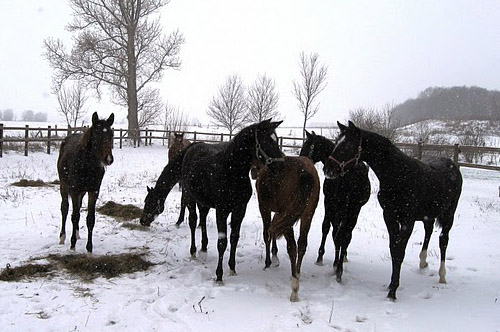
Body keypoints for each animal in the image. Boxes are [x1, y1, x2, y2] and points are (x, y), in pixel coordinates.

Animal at [57, 111, 114, 252]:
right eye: (97, 134)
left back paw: (77, 234)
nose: (108, 159)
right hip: (64, 185)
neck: (87, 164)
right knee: (65, 208)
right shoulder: (74, 190)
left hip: (82, 192)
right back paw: (62, 237)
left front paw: (89, 248)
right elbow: (75, 216)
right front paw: (72, 245)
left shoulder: (93, 191)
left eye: (111, 135)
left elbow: (90, 219)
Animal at [140, 119, 286, 282]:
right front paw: (219, 275)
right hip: (191, 197)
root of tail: (192, 147)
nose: (142, 221)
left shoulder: (240, 209)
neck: (231, 172)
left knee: (201, 218)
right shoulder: (221, 210)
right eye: (267, 141)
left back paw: (203, 249)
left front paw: (232, 268)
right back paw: (194, 251)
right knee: (193, 221)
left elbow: (234, 238)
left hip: (202, 200)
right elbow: (222, 242)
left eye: (276, 140)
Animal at [254, 156, 320, 300]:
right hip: (307, 215)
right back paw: (297, 273)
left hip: (288, 218)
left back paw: (294, 289)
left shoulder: (264, 208)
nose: (253, 173)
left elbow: (267, 234)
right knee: (302, 245)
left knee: (292, 247)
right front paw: (274, 256)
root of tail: (305, 172)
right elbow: (273, 231)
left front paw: (268, 262)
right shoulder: (279, 214)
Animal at [296, 131, 372, 282]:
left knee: (346, 233)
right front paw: (322, 258)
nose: (302, 161)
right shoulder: (329, 203)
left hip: (353, 210)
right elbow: (327, 229)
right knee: (338, 231)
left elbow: (342, 235)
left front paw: (338, 269)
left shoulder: (347, 208)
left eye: (309, 146)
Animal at [324, 122, 460, 300]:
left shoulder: (407, 220)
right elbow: (393, 249)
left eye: (347, 145)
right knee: (429, 232)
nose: (327, 169)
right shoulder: (389, 216)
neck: (398, 175)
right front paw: (391, 286)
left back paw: (442, 275)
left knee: (443, 240)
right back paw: (423, 262)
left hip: (449, 214)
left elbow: (399, 251)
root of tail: (452, 165)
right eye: (336, 142)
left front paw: (393, 291)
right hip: (428, 216)